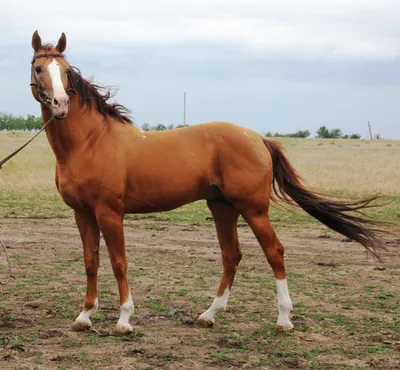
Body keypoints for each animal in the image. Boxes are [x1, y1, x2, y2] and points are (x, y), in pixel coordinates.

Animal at [28, 31, 384, 336]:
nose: (60, 104)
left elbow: (118, 262)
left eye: (66, 71)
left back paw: (284, 319)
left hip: (254, 210)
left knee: (274, 252)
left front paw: (124, 320)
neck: (91, 142)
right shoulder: (83, 214)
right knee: (231, 255)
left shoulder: (109, 213)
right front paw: (84, 316)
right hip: (222, 207)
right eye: (38, 67)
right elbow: (91, 262)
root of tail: (258, 138)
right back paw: (210, 314)